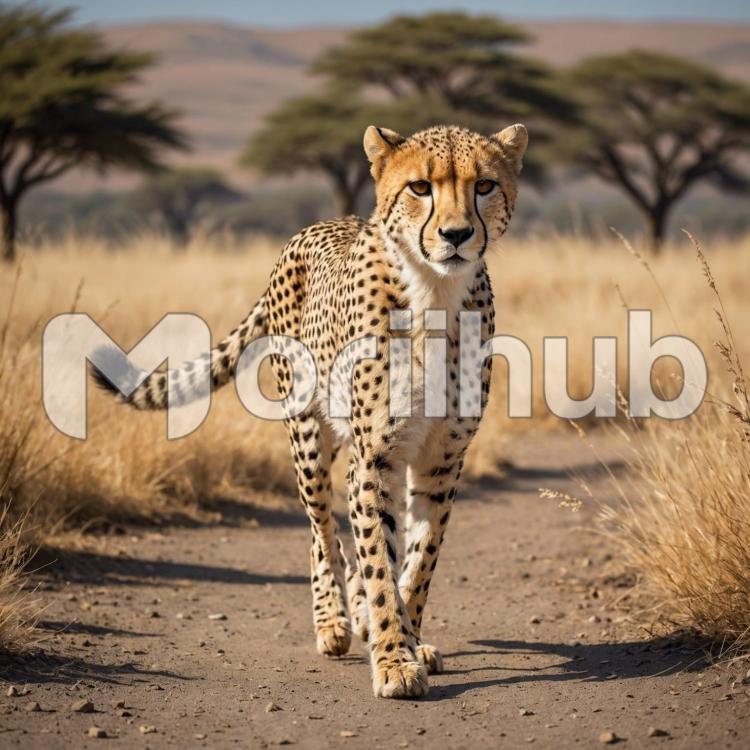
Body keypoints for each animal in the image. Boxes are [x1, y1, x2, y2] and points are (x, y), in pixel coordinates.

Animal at [93, 122, 528, 698]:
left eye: (483, 185)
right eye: (420, 187)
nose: (456, 235)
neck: (435, 292)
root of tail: (312, 229)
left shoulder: (441, 461)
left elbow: (418, 560)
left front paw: (410, 642)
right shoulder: (376, 458)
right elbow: (378, 561)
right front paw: (393, 658)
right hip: (307, 438)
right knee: (321, 532)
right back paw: (335, 622)